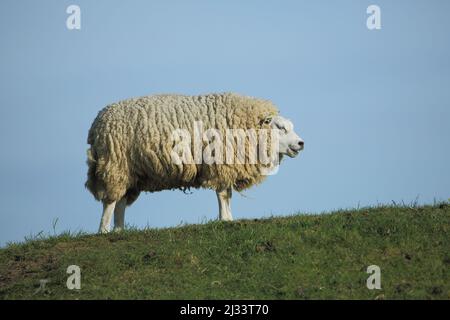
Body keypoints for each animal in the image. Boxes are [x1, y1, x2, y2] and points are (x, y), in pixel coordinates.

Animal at [85, 92, 302, 232]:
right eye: (281, 127)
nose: (301, 143)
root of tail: (96, 124)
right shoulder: (220, 164)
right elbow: (223, 194)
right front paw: (225, 219)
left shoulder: (227, 167)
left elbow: (227, 194)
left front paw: (229, 218)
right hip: (115, 164)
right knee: (110, 201)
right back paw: (104, 230)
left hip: (130, 172)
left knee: (120, 201)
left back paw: (119, 231)